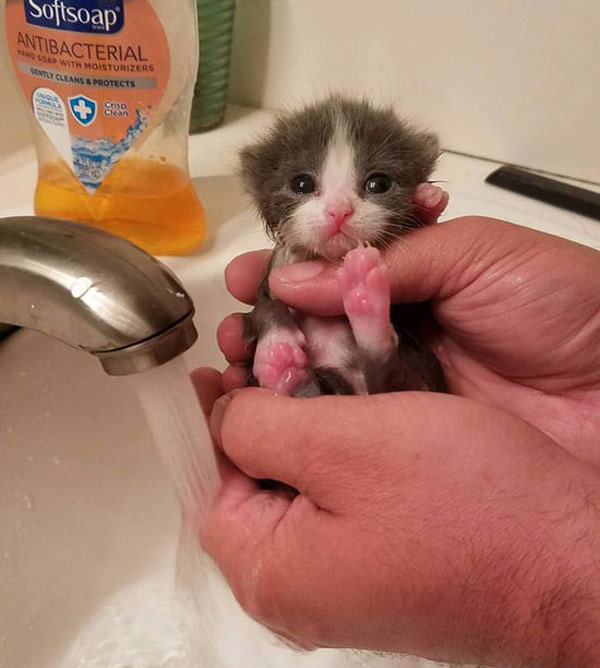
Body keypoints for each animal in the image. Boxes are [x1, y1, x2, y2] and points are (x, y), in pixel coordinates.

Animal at [239, 97, 446, 400]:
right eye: (302, 184)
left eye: (378, 184)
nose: (339, 211)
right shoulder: (272, 276)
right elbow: (264, 307)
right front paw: (276, 343)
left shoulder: (415, 313)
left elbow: (420, 308)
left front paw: (429, 200)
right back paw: (284, 371)